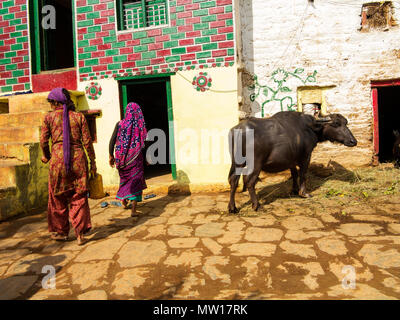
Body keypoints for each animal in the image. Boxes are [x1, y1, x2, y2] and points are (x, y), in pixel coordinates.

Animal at [228, 110, 356, 212]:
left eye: (345, 123)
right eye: (336, 124)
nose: (353, 141)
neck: (310, 128)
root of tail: (239, 130)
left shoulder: (291, 160)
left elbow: (294, 174)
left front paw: (294, 190)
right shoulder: (306, 156)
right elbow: (303, 174)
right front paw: (304, 193)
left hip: (236, 163)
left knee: (233, 180)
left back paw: (232, 208)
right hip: (255, 164)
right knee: (249, 181)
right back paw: (256, 205)